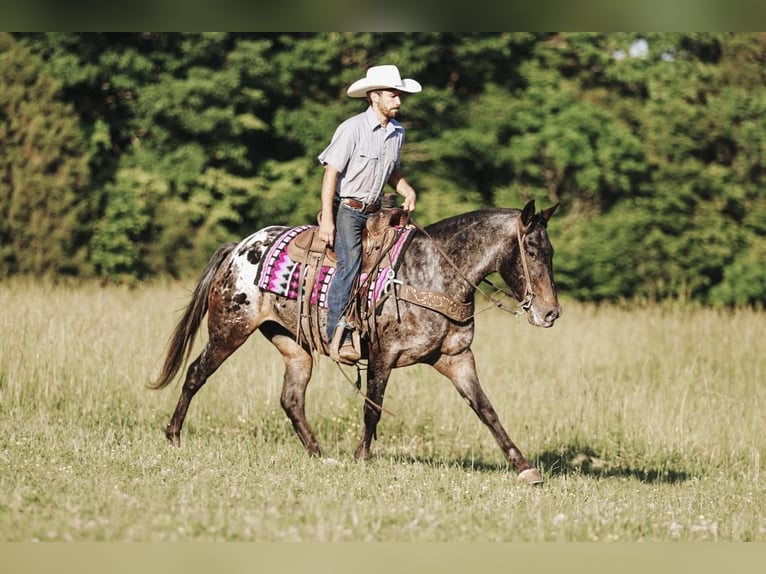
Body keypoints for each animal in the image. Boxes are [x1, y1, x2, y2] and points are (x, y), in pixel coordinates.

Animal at [153, 200, 564, 484]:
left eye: (551, 252)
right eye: (530, 250)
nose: (550, 313)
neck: (432, 273)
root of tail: (238, 248)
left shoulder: (457, 357)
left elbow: (486, 410)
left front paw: (525, 467)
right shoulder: (384, 354)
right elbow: (373, 408)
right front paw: (362, 457)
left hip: (293, 346)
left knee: (291, 398)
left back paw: (319, 454)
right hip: (229, 330)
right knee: (195, 373)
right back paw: (173, 436)